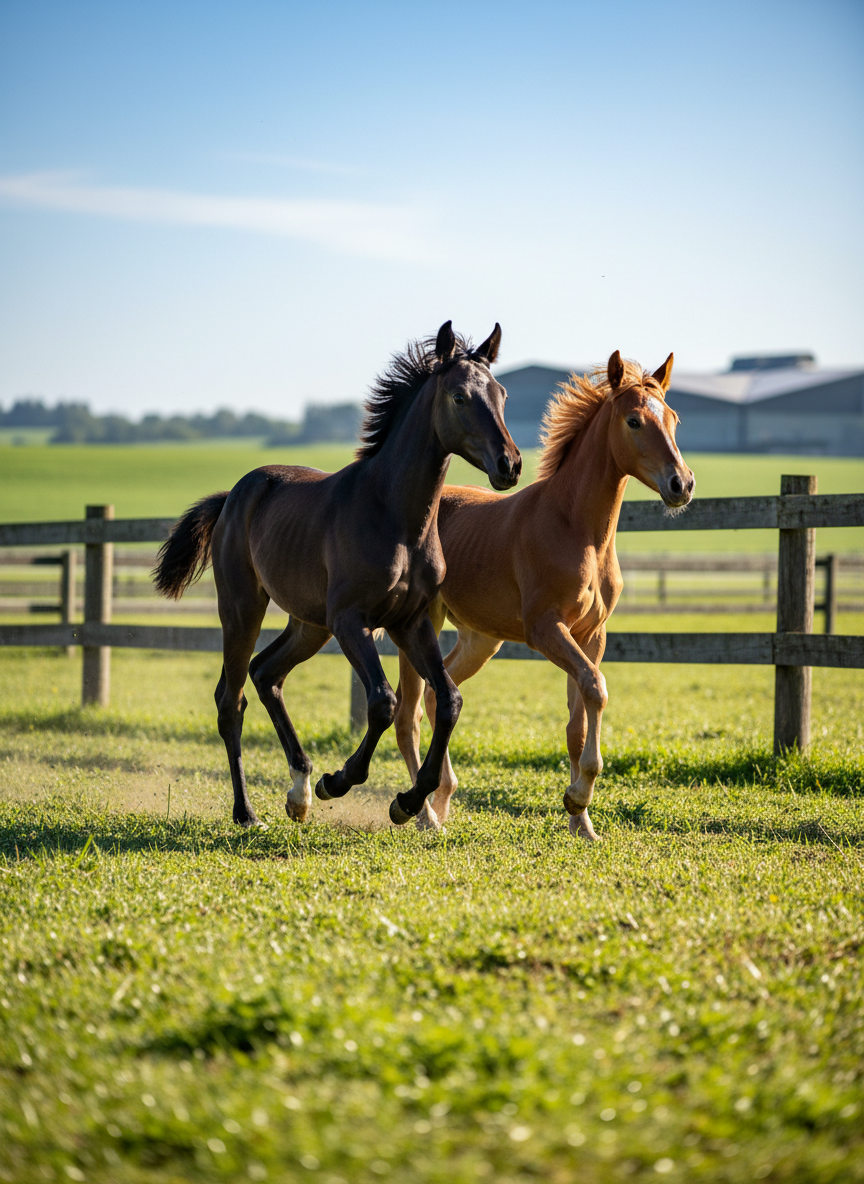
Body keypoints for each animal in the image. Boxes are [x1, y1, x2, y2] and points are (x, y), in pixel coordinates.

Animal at [153, 321, 521, 828]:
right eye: (460, 396)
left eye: (501, 394)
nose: (510, 464)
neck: (394, 516)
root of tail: (233, 496)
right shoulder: (352, 620)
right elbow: (383, 702)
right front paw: (340, 781)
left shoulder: (410, 621)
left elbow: (448, 701)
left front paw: (408, 803)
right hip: (244, 607)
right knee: (231, 699)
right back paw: (248, 812)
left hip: (309, 624)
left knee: (266, 673)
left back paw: (299, 792)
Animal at [390, 350, 694, 839]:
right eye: (633, 421)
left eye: (673, 419)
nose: (681, 484)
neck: (576, 528)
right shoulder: (545, 629)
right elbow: (597, 687)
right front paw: (578, 797)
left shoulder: (590, 634)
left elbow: (578, 719)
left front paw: (581, 821)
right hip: (423, 624)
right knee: (408, 715)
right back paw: (424, 816)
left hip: (481, 639)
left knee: (439, 696)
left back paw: (443, 798)